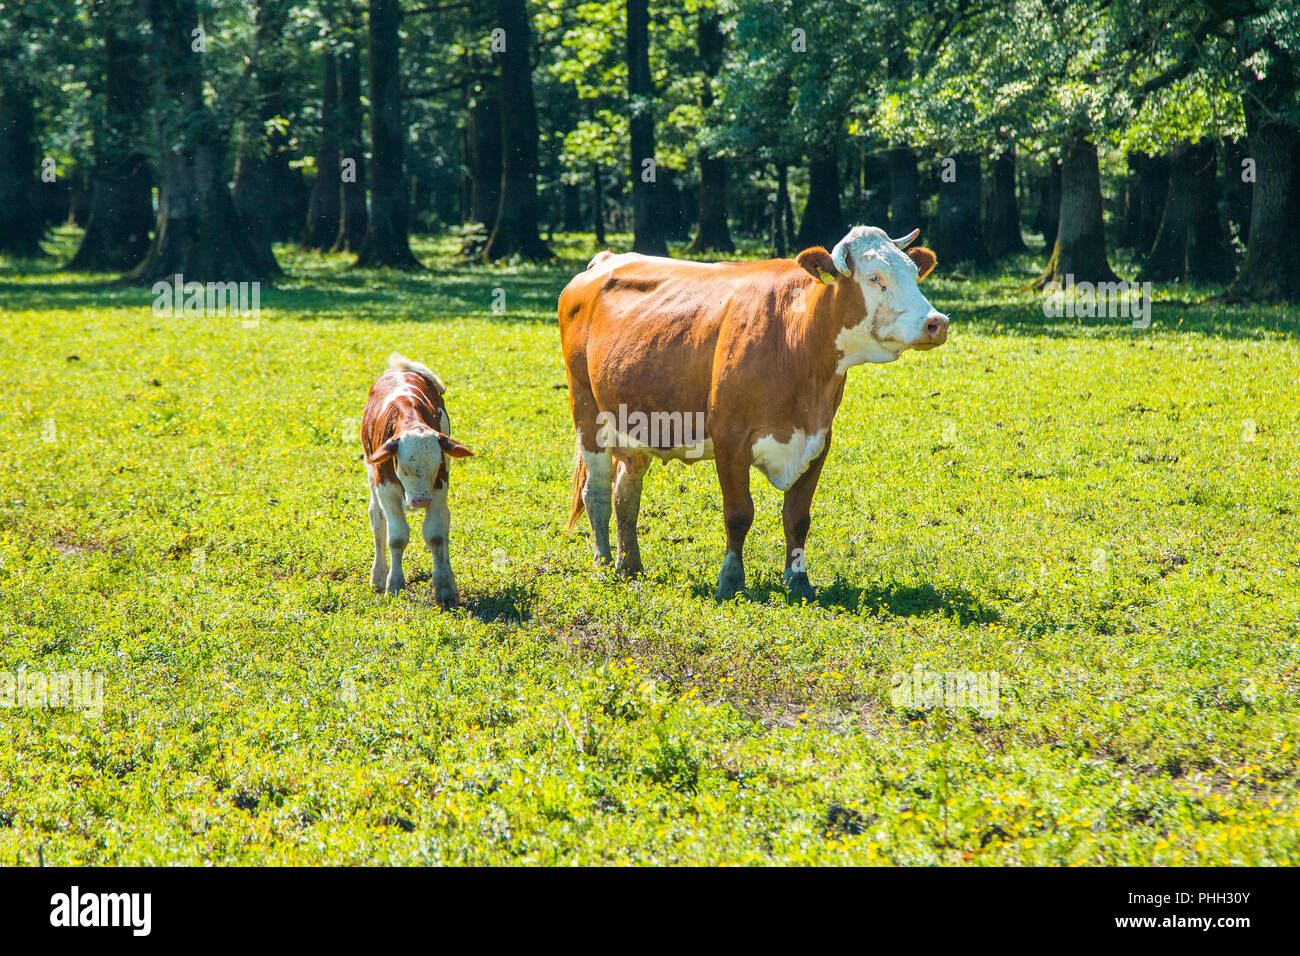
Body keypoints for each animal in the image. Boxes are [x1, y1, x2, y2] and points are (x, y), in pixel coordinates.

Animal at [361, 354, 473, 605]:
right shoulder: (386, 488)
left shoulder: (440, 484)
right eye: (403, 467)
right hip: (373, 478)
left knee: (445, 519)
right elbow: (396, 537)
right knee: (377, 521)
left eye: (437, 465)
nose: (421, 500)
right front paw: (394, 585)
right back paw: (378, 575)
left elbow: (436, 534)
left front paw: (444, 587)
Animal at [558, 225, 948, 601]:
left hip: (634, 421)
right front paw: (731, 581)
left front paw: (798, 581)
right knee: (597, 491)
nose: (937, 322)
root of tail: (605, 260)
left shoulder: (819, 439)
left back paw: (630, 566)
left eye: (913, 273)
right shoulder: (730, 439)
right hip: (586, 408)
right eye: (874, 277)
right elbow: (738, 513)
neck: (796, 340)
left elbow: (797, 518)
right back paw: (603, 564)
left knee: (626, 491)